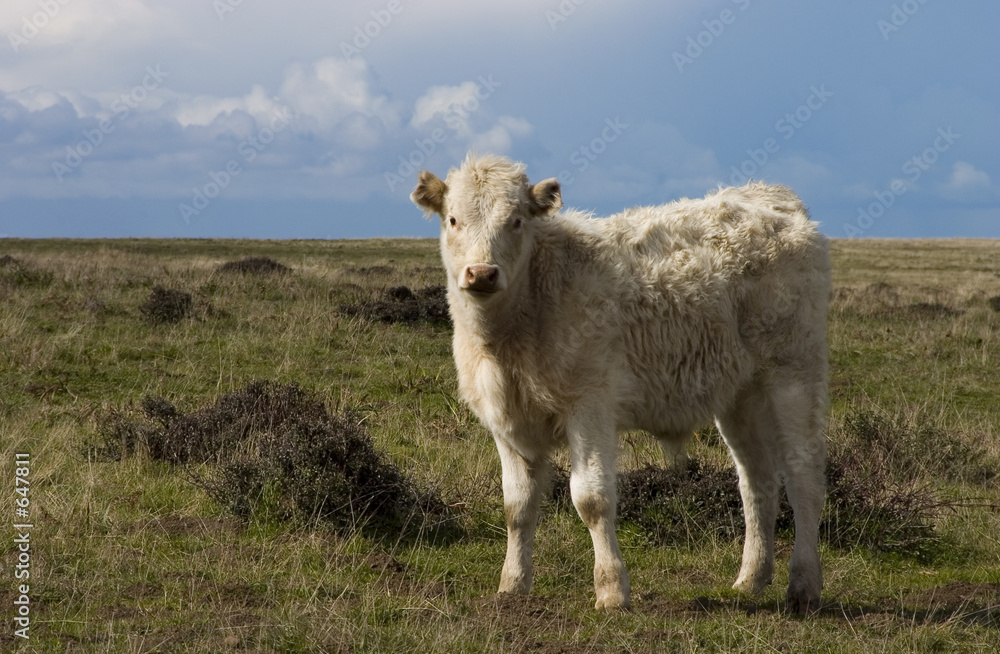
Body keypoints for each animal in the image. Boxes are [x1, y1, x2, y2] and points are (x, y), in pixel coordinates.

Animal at [411, 152, 830, 614]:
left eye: (517, 221)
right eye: (452, 219)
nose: (482, 273)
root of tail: (770, 195)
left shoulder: (590, 404)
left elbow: (591, 498)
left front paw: (611, 590)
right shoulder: (506, 420)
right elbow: (516, 505)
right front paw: (512, 584)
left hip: (794, 372)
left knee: (803, 476)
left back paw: (804, 584)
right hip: (739, 394)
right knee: (757, 481)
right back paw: (751, 579)